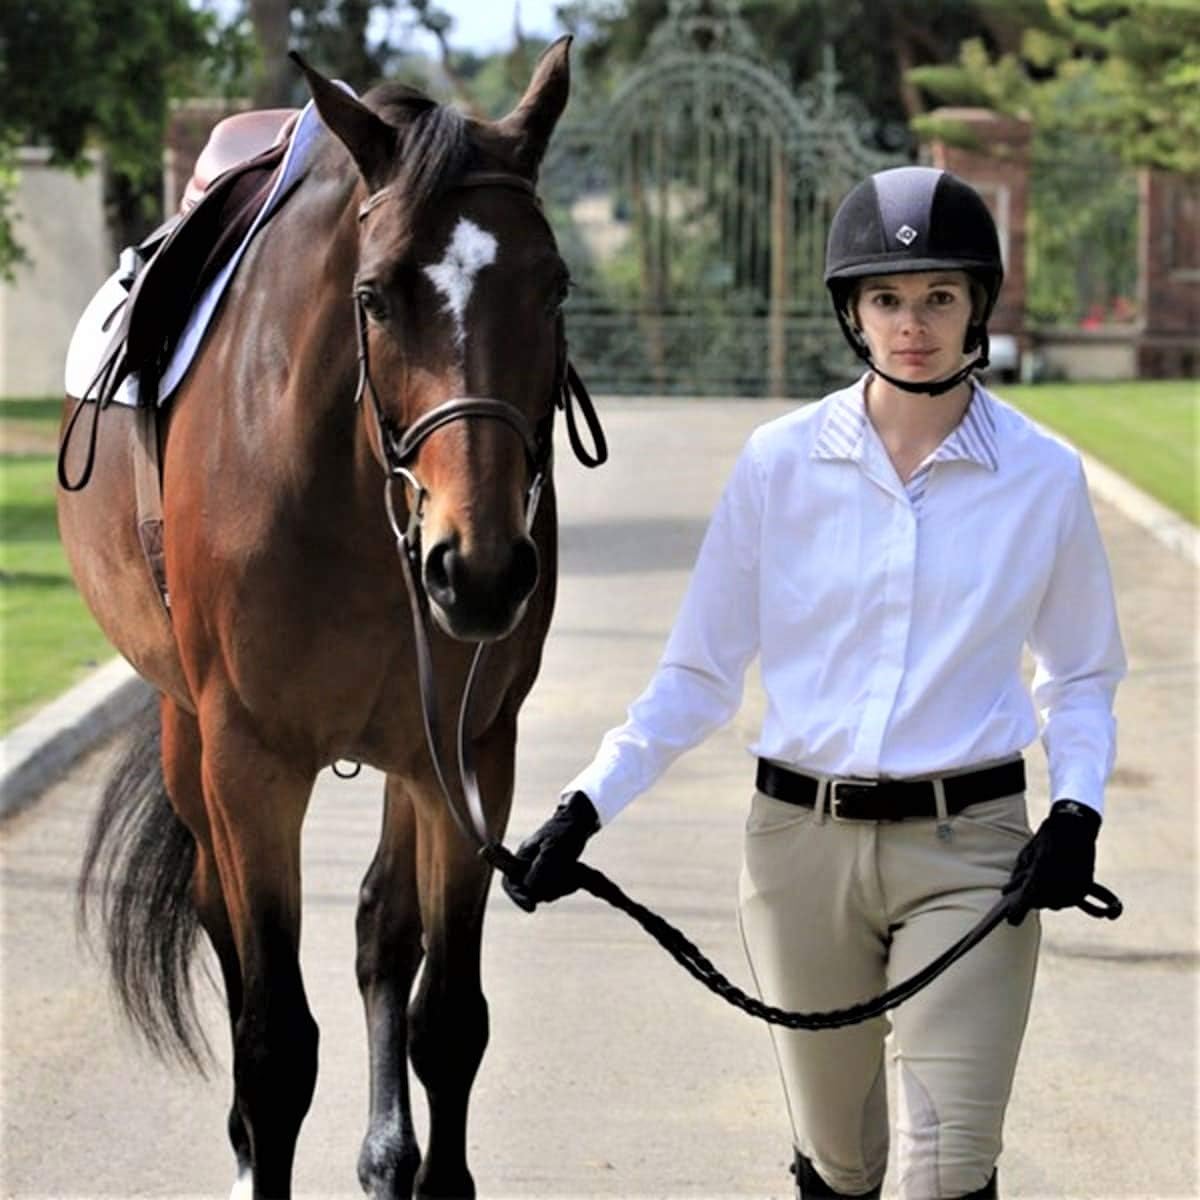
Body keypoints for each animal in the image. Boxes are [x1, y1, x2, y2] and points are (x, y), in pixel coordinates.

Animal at [58, 39, 584, 1200]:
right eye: (376, 297)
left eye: (556, 287)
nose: (480, 568)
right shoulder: (250, 760)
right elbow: (273, 1045)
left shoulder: (467, 752)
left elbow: (447, 1019)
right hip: (189, 735)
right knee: (223, 921)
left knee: (383, 931)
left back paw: (386, 1157)